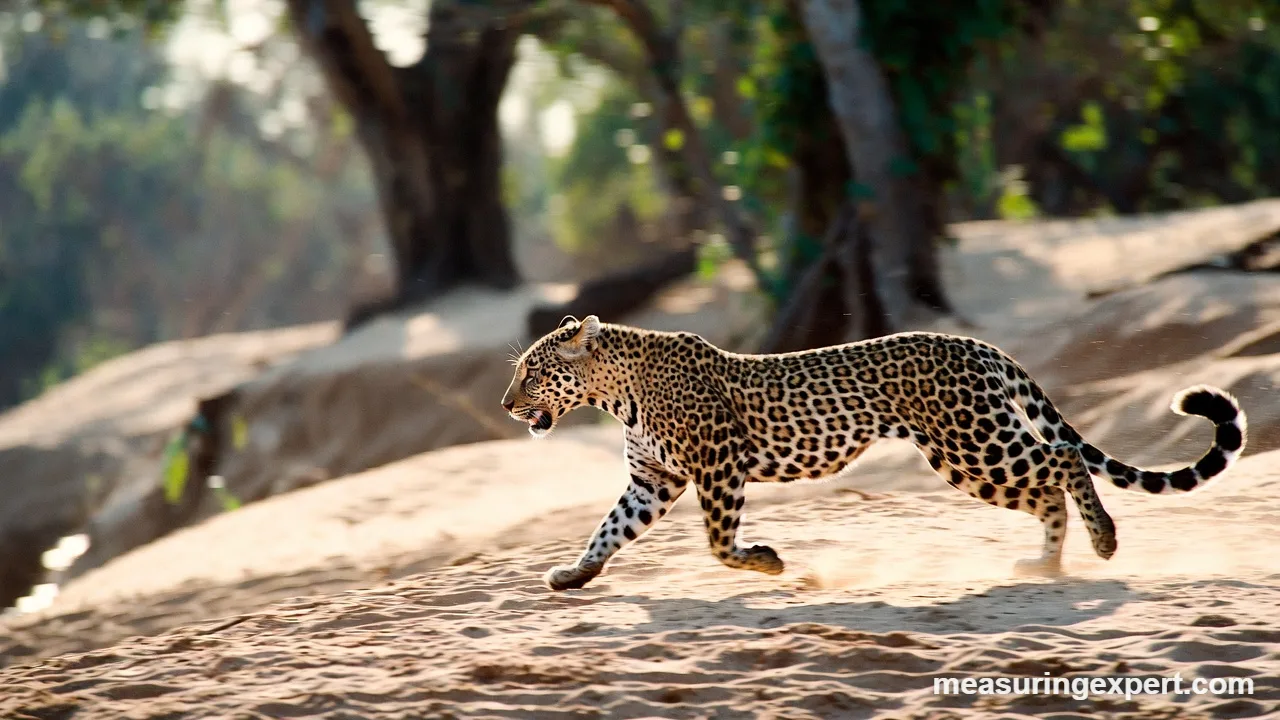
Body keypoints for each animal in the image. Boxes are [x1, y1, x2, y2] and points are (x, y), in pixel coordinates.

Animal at [501, 315, 1247, 591]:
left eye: (532, 372)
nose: (508, 405)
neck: (613, 390)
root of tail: (977, 343)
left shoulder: (718, 465)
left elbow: (717, 543)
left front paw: (767, 562)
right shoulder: (653, 480)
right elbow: (609, 530)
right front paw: (573, 574)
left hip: (972, 442)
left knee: (1061, 464)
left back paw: (1103, 542)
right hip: (965, 457)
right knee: (1043, 490)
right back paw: (1044, 565)